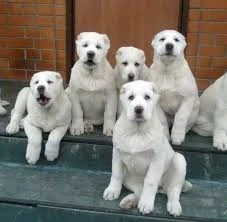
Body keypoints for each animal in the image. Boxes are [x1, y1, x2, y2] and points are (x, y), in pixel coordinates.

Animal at [103, 80, 191, 217]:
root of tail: (162, 187)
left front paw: (146, 204)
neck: (137, 131)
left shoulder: (156, 160)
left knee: (173, 190)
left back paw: (174, 206)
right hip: (129, 180)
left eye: (147, 97)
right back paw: (129, 201)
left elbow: (150, 182)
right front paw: (112, 190)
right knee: (139, 191)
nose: (138, 109)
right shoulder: (117, 154)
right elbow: (116, 174)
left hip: (179, 161)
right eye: (131, 97)